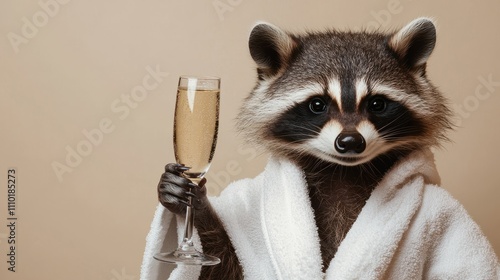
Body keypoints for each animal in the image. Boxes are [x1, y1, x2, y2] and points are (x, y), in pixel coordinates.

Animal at [157, 17, 454, 278]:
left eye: (377, 104)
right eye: (317, 105)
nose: (350, 142)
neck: (342, 170)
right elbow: (230, 268)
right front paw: (195, 203)